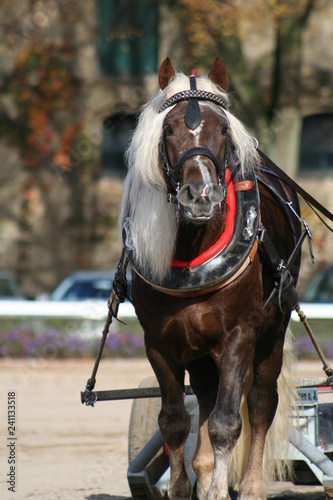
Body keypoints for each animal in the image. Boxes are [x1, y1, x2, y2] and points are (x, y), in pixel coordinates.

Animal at [119, 57, 300, 496]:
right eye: (168, 129)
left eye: (223, 128)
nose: (200, 195)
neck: (191, 249)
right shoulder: (160, 344)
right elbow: (173, 421)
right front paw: (185, 489)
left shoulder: (239, 335)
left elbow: (226, 422)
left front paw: (218, 490)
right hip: (198, 349)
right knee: (204, 394)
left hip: (272, 332)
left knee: (260, 402)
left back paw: (251, 487)